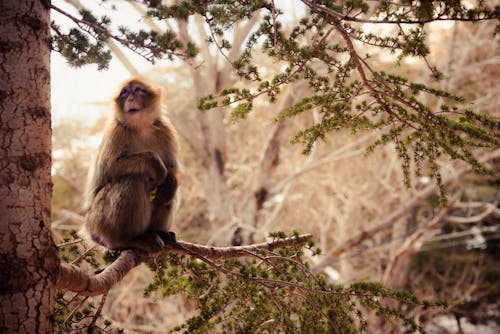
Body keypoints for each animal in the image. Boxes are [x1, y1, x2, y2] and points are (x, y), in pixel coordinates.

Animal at [85, 76, 179, 253]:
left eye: (137, 90)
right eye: (124, 93)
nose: (130, 98)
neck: (141, 127)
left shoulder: (166, 130)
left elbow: (173, 169)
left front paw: (170, 181)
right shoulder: (116, 132)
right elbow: (110, 168)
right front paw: (154, 163)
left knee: (167, 195)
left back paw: (159, 232)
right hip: (99, 219)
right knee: (132, 181)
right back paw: (125, 241)